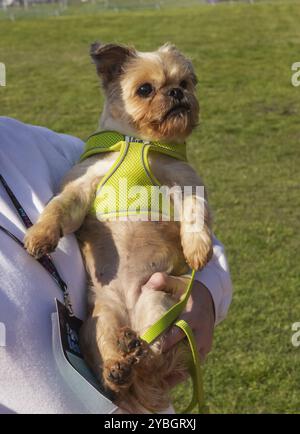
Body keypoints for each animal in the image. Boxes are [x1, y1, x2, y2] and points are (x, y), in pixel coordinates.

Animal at [25, 44, 213, 414]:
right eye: (145, 89)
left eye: (186, 82)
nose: (177, 92)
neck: (138, 141)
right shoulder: (81, 188)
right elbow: (57, 209)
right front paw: (40, 236)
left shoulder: (186, 185)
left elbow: (195, 214)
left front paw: (198, 248)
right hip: (99, 322)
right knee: (114, 368)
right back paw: (119, 366)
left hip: (156, 302)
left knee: (154, 358)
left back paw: (135, 353)